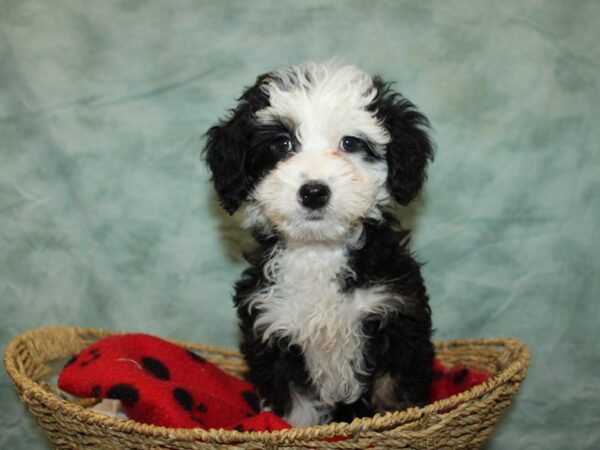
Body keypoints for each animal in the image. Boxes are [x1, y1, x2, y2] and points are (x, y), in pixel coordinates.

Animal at [204, 61, 434, 428]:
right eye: (282, 144)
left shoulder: (398, 318)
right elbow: (295, 411)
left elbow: (393, 395)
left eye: (350, 142)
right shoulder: (273, 332)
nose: (313, 192)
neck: (318, 251)